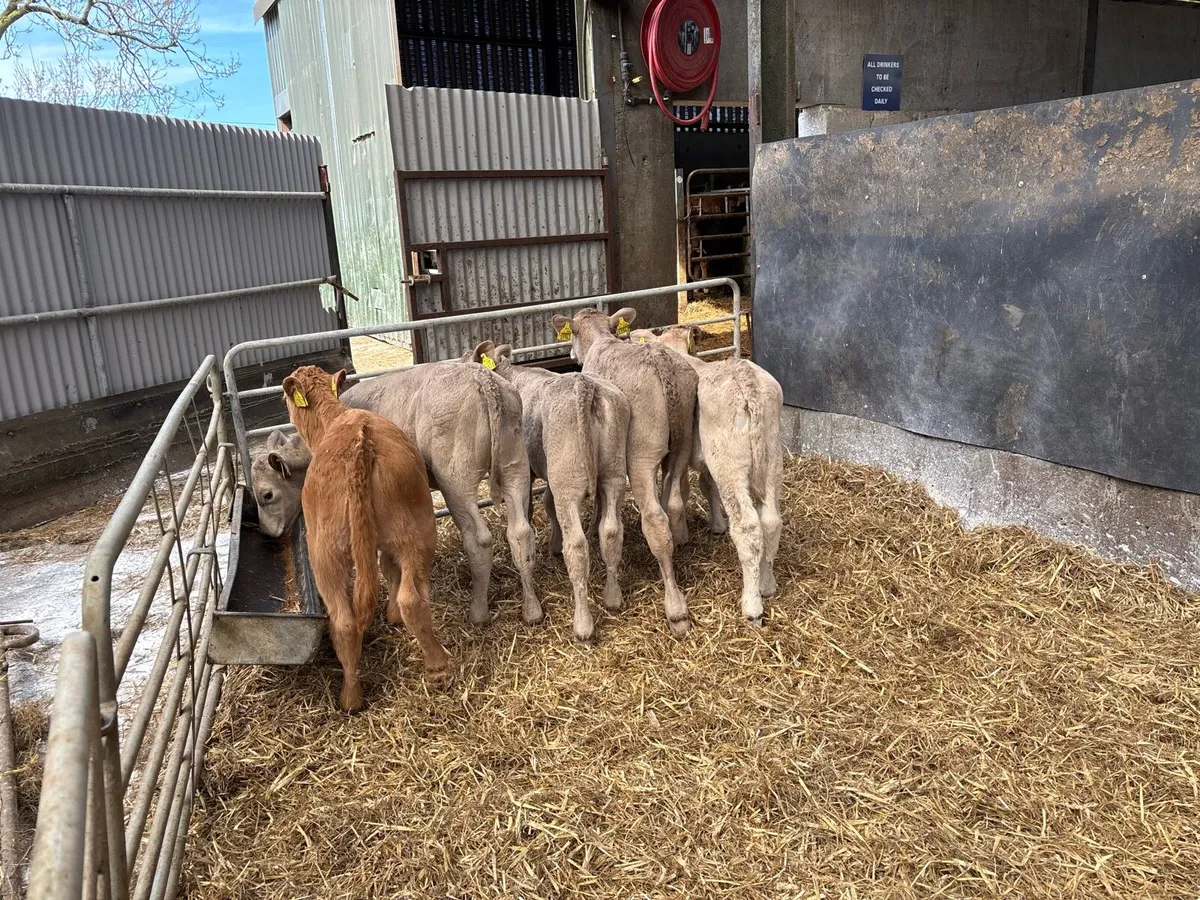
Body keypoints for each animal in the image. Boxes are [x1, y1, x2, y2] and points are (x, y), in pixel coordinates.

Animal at [280, 365, 450, 711]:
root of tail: (360, 441)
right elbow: (388, 570)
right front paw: (393, 616)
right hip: (409, 535)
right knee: (401, 602)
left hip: (327, 554)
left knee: (349, 619)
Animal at [465, 341, 630, 641]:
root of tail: (584, 385)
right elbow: (548, 503)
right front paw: (552, 543)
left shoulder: (529, 472)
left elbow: (532, 509)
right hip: (613, 473)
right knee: (611, 531)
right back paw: (613, 598)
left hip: (569, 480)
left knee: (577, 546)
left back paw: (583, 624)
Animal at [552, 307, 699, 635]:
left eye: (572, 334)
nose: (570, 353)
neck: (600, 340)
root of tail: (661, 361)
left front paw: (594, 526)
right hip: (682, 443)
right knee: (673, 503)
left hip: (642, 453)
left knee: (655, 519)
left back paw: (676, 609)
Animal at [630, 326, 784, 625]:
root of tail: (747, 382)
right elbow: (706, 486)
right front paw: (717, 524)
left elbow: (683, 492)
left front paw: (683, 534)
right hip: (771, 458)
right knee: (771, 521)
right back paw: (766, 584)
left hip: (729, 463)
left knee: (748, 526)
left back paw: (752, 605)